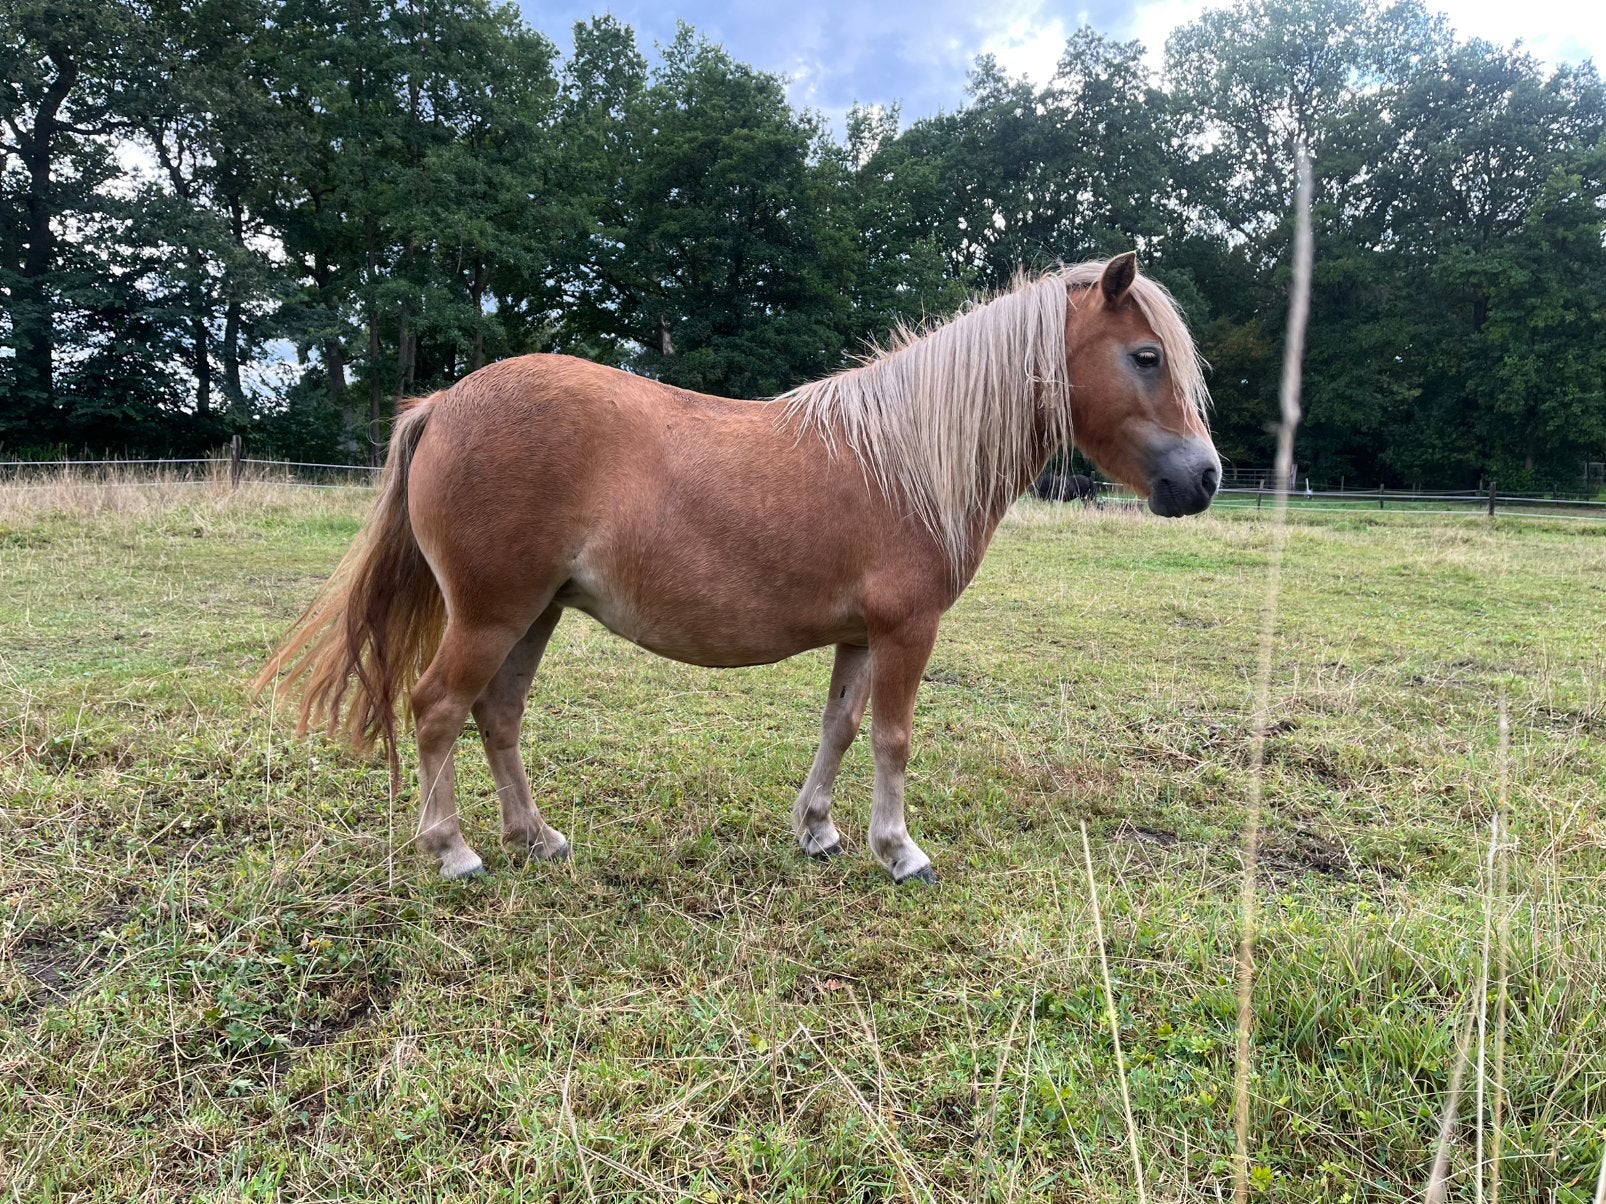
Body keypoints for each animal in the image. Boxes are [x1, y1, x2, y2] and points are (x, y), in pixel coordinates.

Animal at [257, 254, 1219, 885]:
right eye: (1146, 357)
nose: (1204, 479)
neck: (905, 457)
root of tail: (444, 403)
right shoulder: (908, 629)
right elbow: (894, 737)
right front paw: (900, 850)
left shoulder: (861, 636)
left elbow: (839, 728)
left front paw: (819, 832)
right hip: (492, 613)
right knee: (437, 709)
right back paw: (455, 850)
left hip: (535, 613)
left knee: (497, 716)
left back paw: (538, 838)